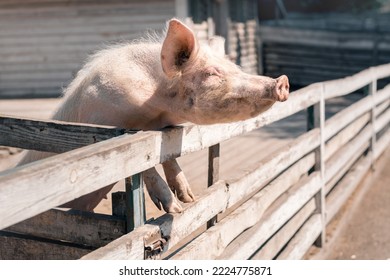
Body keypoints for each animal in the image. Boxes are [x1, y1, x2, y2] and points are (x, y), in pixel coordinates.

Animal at [18, 18, 290, 213]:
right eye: (212, 73)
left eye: (235, 67)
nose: (282, 81)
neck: (155, 109)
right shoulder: (109, 129)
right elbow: (142, 162)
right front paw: (176, 209)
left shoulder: (162, 126)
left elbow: (168, 155)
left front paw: (189, 198)